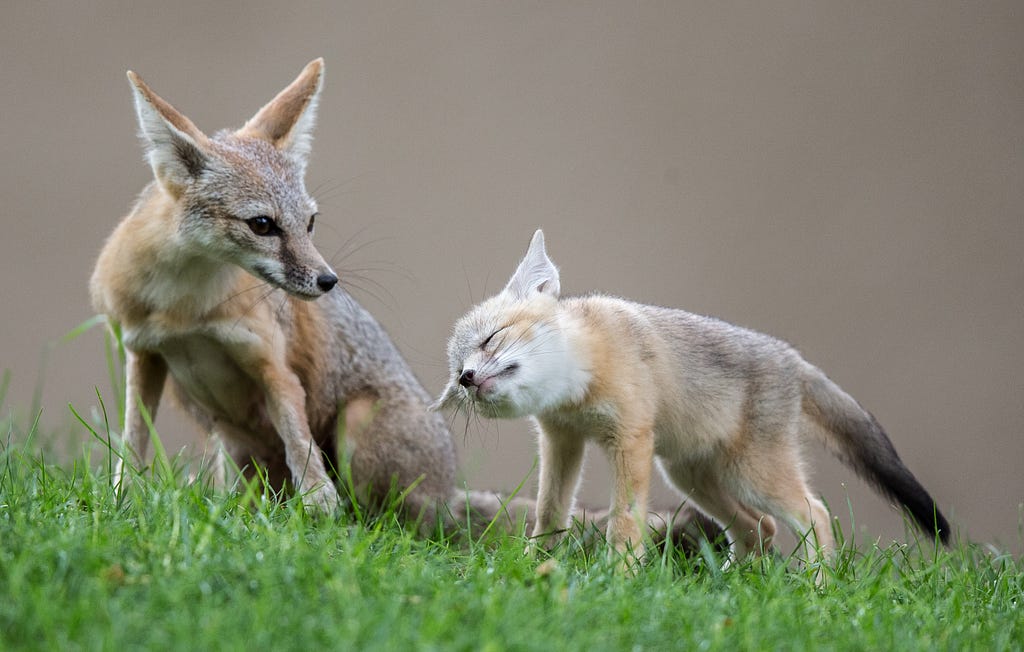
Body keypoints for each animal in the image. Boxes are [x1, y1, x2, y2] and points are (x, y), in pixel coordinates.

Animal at [434, 229, 950, 560]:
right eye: (457, 376)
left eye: (491, 339)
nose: (470, 379)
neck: (580, 382)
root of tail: (791, 357)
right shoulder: (563, 440)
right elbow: (549, 512)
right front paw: (534, 566)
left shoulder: (630, 439)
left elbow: (624, 522)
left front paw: (620, 576)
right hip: (692, 477)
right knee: (758, 528)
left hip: (750, 475)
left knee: (816, 514)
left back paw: (818, 590)